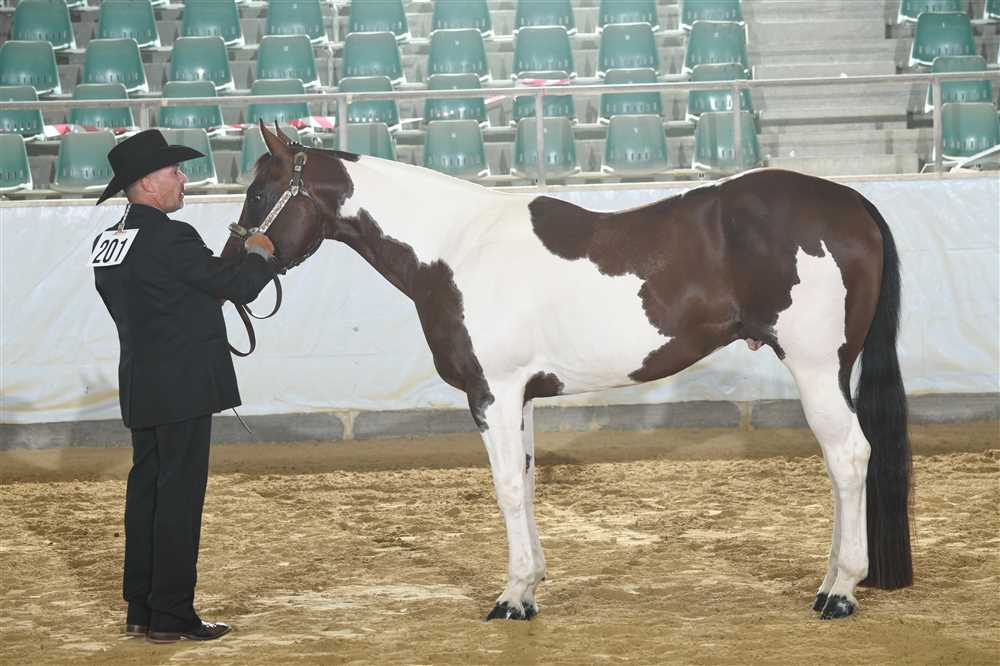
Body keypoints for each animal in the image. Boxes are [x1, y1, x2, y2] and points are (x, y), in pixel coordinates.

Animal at [222, 122, 913, 621]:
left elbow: (505, 487)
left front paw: (509, 599)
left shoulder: (492, 393)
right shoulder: (520, 397)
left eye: (259, 193)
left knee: (848, 456)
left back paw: (840, 593)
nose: (231, 266)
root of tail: (852, 202)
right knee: (841, 463)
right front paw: (530, 590)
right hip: (833, 370)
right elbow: (527, 484)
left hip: (816, 367)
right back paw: (829, 581)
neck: (456, 248)